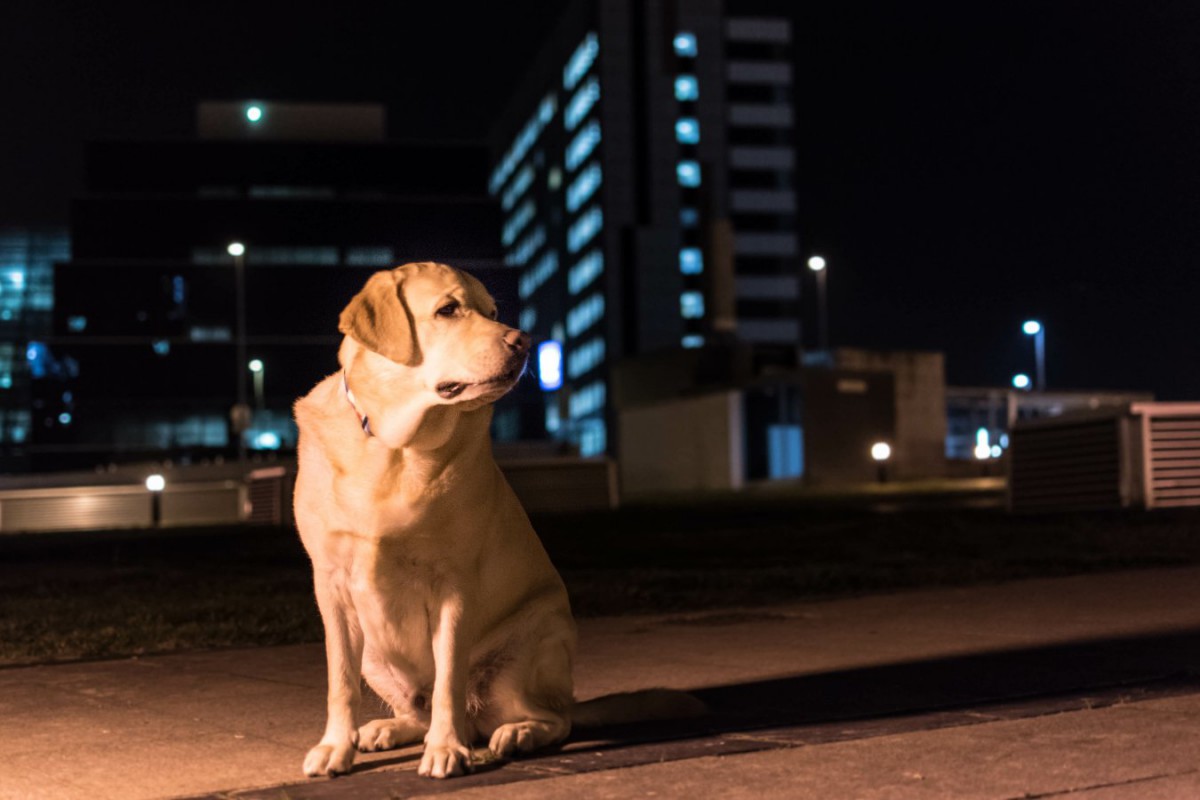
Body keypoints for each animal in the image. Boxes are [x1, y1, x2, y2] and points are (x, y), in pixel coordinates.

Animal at [292, 263, 573, 782]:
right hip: (374, 654)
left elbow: (449, 682)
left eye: (493, 312)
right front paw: (335, 747)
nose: (524, 341)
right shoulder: (332, 586)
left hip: (530, 648)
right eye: (448, 310)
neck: (394, 444)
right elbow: (339, 681)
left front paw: (447, 749)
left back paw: (515, 734)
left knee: (555, 717)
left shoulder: (453, 586)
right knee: (414, 710)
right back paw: (385, 729)